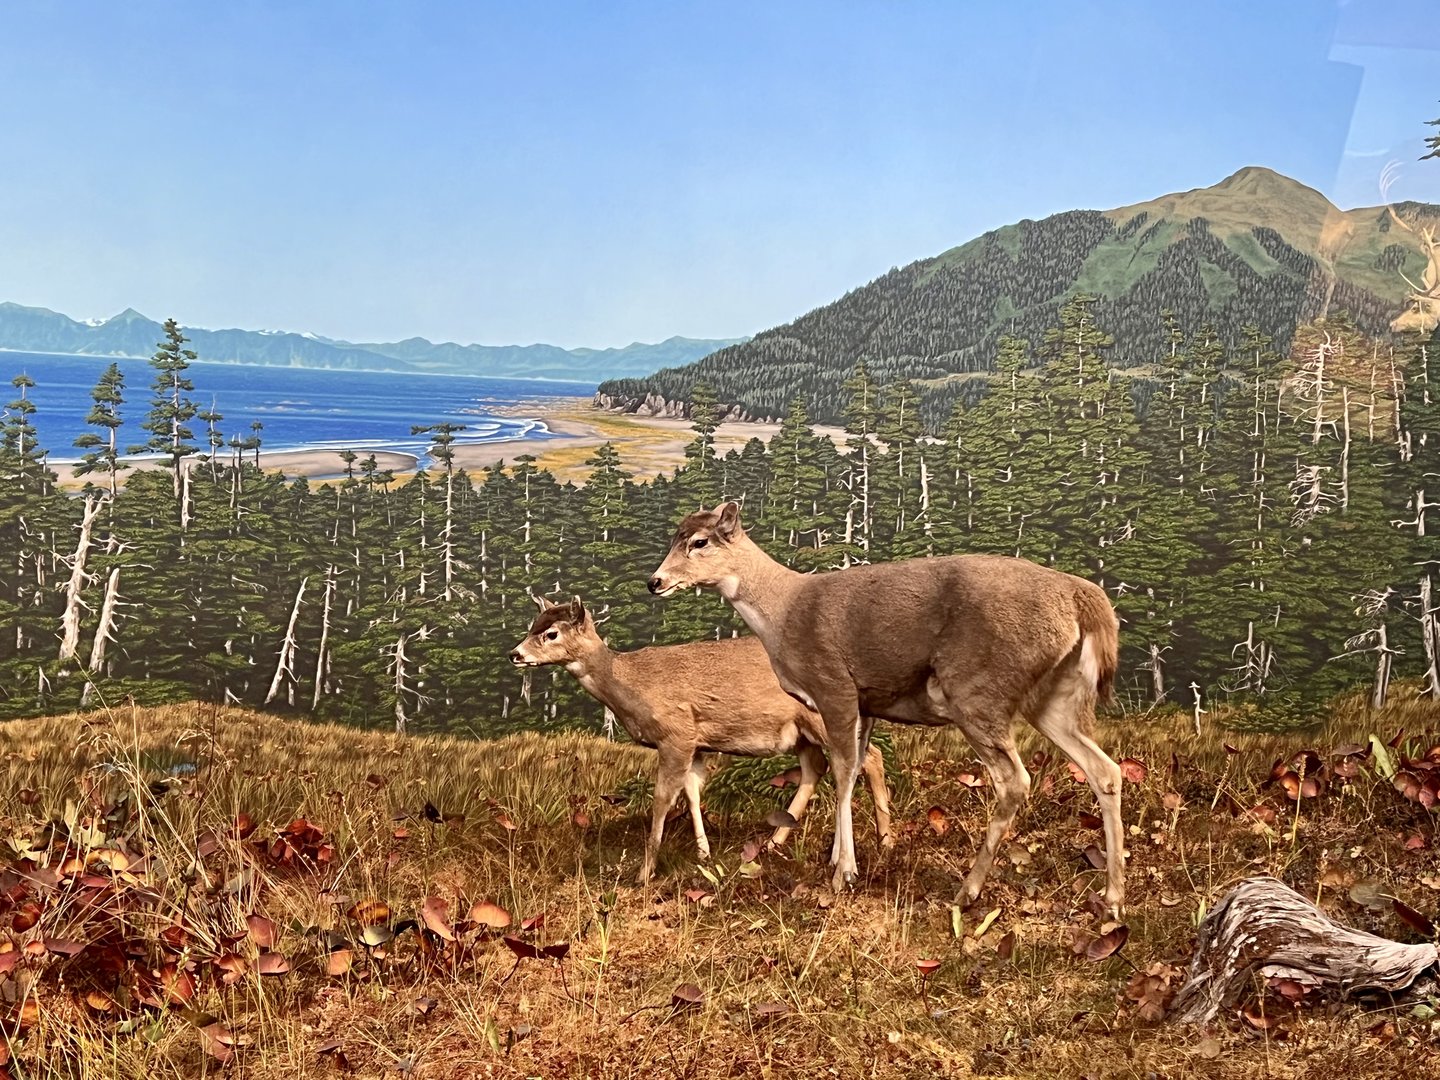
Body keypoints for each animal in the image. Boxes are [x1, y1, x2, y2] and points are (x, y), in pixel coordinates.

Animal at [508, 595, 893, 885]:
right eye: (532, 624)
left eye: (551, 633)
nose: (515, 653)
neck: (632, 687)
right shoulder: (696, 743)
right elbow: (692, 793)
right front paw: (704, 853)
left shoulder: (675, 733)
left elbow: (662, 799)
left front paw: (645, 872)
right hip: (801, 730)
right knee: (820, 767)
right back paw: (781, 845)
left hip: (823, 718)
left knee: (866, 759)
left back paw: (882, 842)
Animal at [648, 502, 1126, 918]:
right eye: (673, 536)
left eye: (699, 541)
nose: (654, 581)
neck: (782, 614)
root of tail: (1082, 594)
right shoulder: (867, 701)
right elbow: (856, 766)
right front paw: (841, 859)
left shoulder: (834, 685)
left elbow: (843, 771)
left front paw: (844, 872)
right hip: (1054, 695)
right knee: (1105, 769)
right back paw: (1113, 897)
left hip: (979, 689)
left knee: (1015, 779)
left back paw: (967, 891)